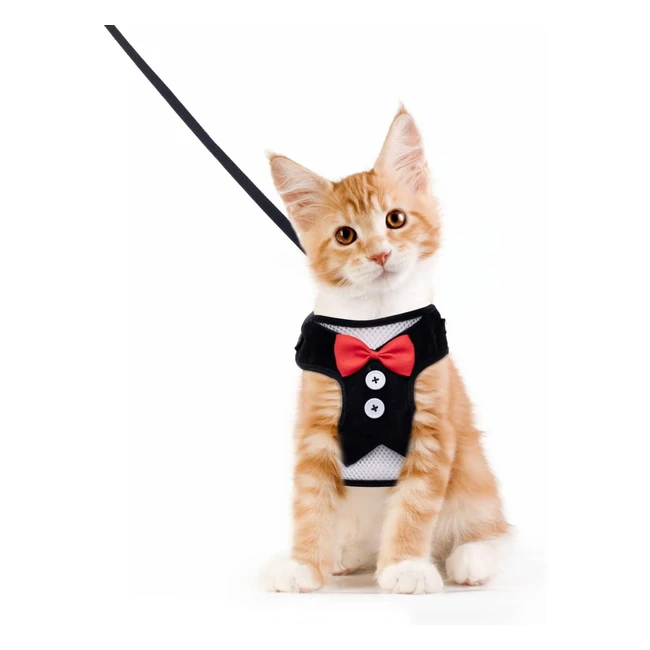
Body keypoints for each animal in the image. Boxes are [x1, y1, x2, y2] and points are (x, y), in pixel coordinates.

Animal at [263, 107, 511, 594]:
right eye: (345, 235)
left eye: (395, 220)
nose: (379, 254)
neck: (376, 334)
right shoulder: (316, 428)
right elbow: (310, 502)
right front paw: (304, 563)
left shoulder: (432, 429)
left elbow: (414, 505)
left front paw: (406, 567)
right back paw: (344, 557)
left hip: (474, 479)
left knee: (492, 530)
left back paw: (471, 558)